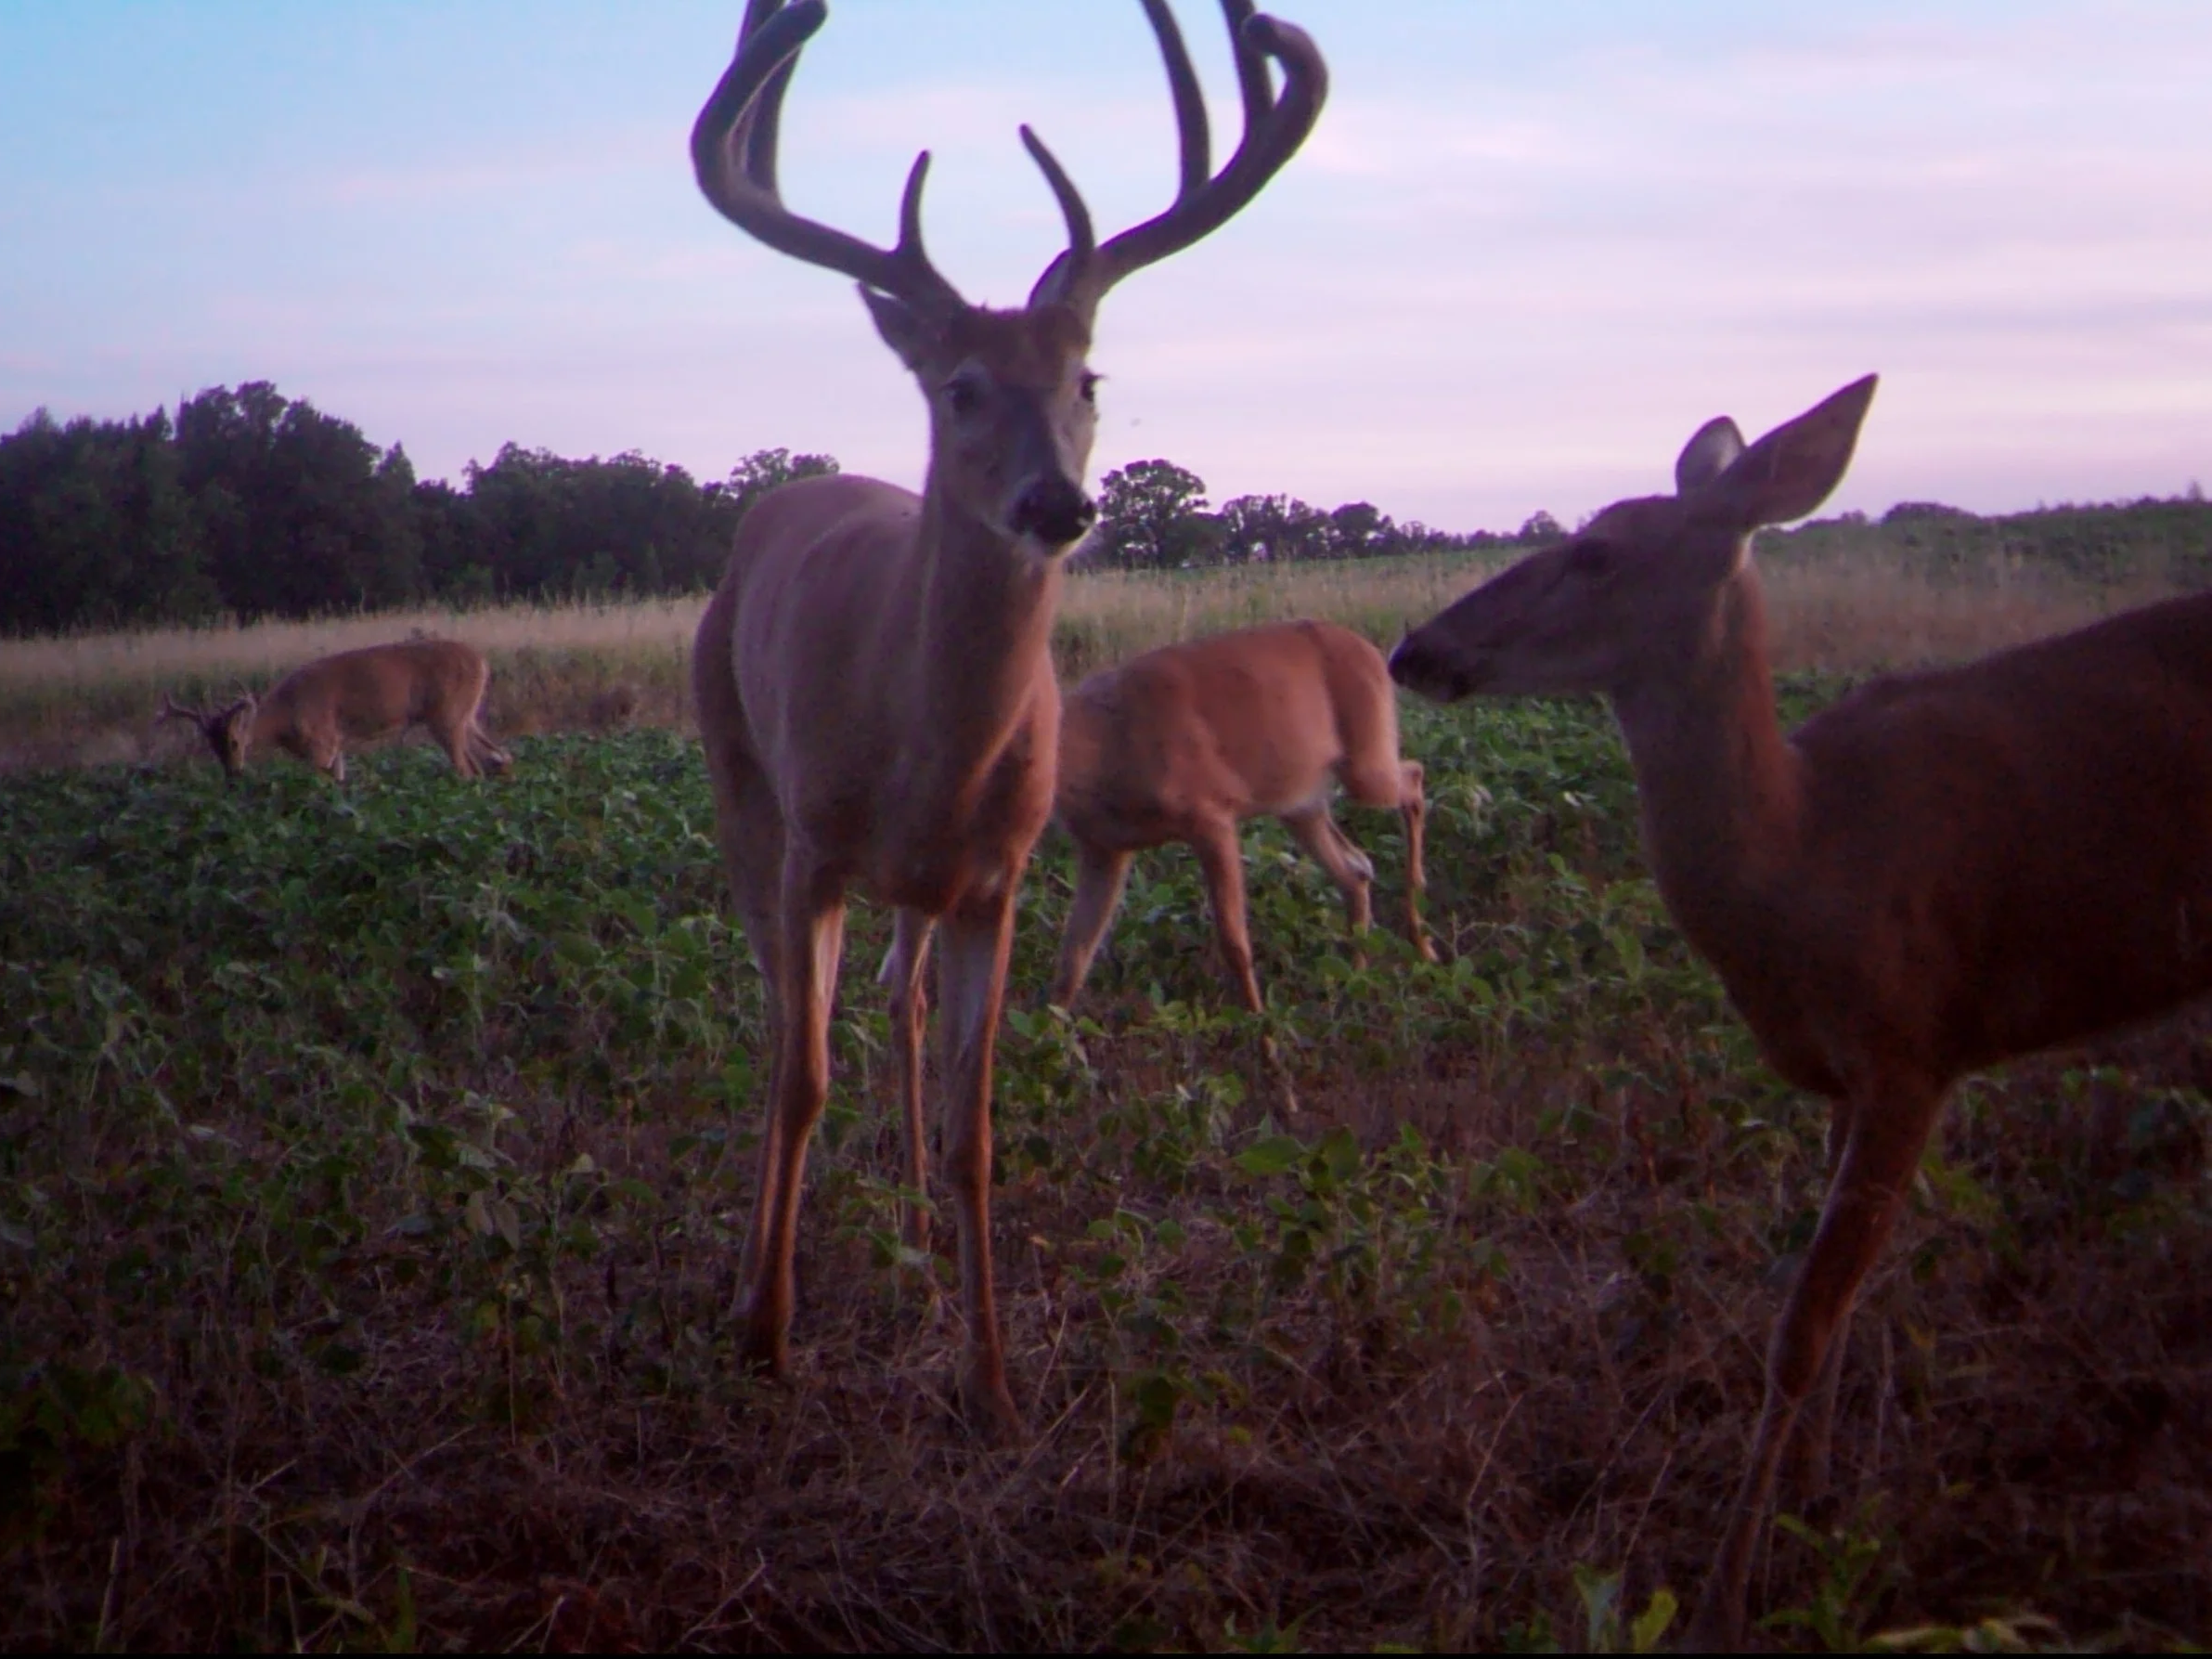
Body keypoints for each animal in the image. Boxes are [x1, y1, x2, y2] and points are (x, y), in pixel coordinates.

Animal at [158, 639, 510, 783]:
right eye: (212, 746)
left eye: (233, 741)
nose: (233, 774)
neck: (284, 719)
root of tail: (483, 662)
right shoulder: (337, 747)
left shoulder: (322, 744)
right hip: (464, 717)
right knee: (493, 759)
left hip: (446, 718)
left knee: (468, 770)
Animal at [687, 0, 1325, 1434]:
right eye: (959, 385)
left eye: (1088, 374)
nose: (1057, 504)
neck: (925, 752)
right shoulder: (814, 841)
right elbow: (797, 1075)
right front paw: (766, 1329)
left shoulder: (999, 870)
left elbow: (977, 1120)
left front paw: (986, 1378)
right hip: (739, 781)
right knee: (778, 1023)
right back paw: (755, 1264)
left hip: (917, 888)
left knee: (902, 1000)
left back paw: (915, 1217)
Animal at [1049, 619, 1435, 1014]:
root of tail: (1374, 652)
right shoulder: (1104, 849)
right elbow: (1073, 958)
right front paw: (1049, 1028)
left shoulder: (1209, 813)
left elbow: (1233, 940)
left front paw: (1260, 1023)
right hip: (1300, 801)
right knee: (1356, 869)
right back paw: (1354, 979)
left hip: (1366, 763)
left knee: (1414, 778)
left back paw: (1421, 937)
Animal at [1388, 373, 2212, 1645]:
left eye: (1596, 549)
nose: (1410, 648)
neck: (1805, 854)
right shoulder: (1839, 1073)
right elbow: (1837, 1304)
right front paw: (1818, 1495)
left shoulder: (1917, 1042)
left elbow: (1800, 1326)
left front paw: (1728, 1587)